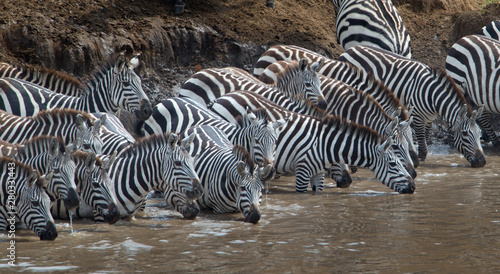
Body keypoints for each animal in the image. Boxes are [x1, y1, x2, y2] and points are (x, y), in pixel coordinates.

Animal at [338, 45, 486, 167]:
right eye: (465, 134)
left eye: (480, 133)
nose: (482, 162)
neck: (432, 95)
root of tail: (349, 49)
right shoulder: (418, 117)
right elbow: (423, 146)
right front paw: (419, 161)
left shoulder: (429, 119)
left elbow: (426, 140)